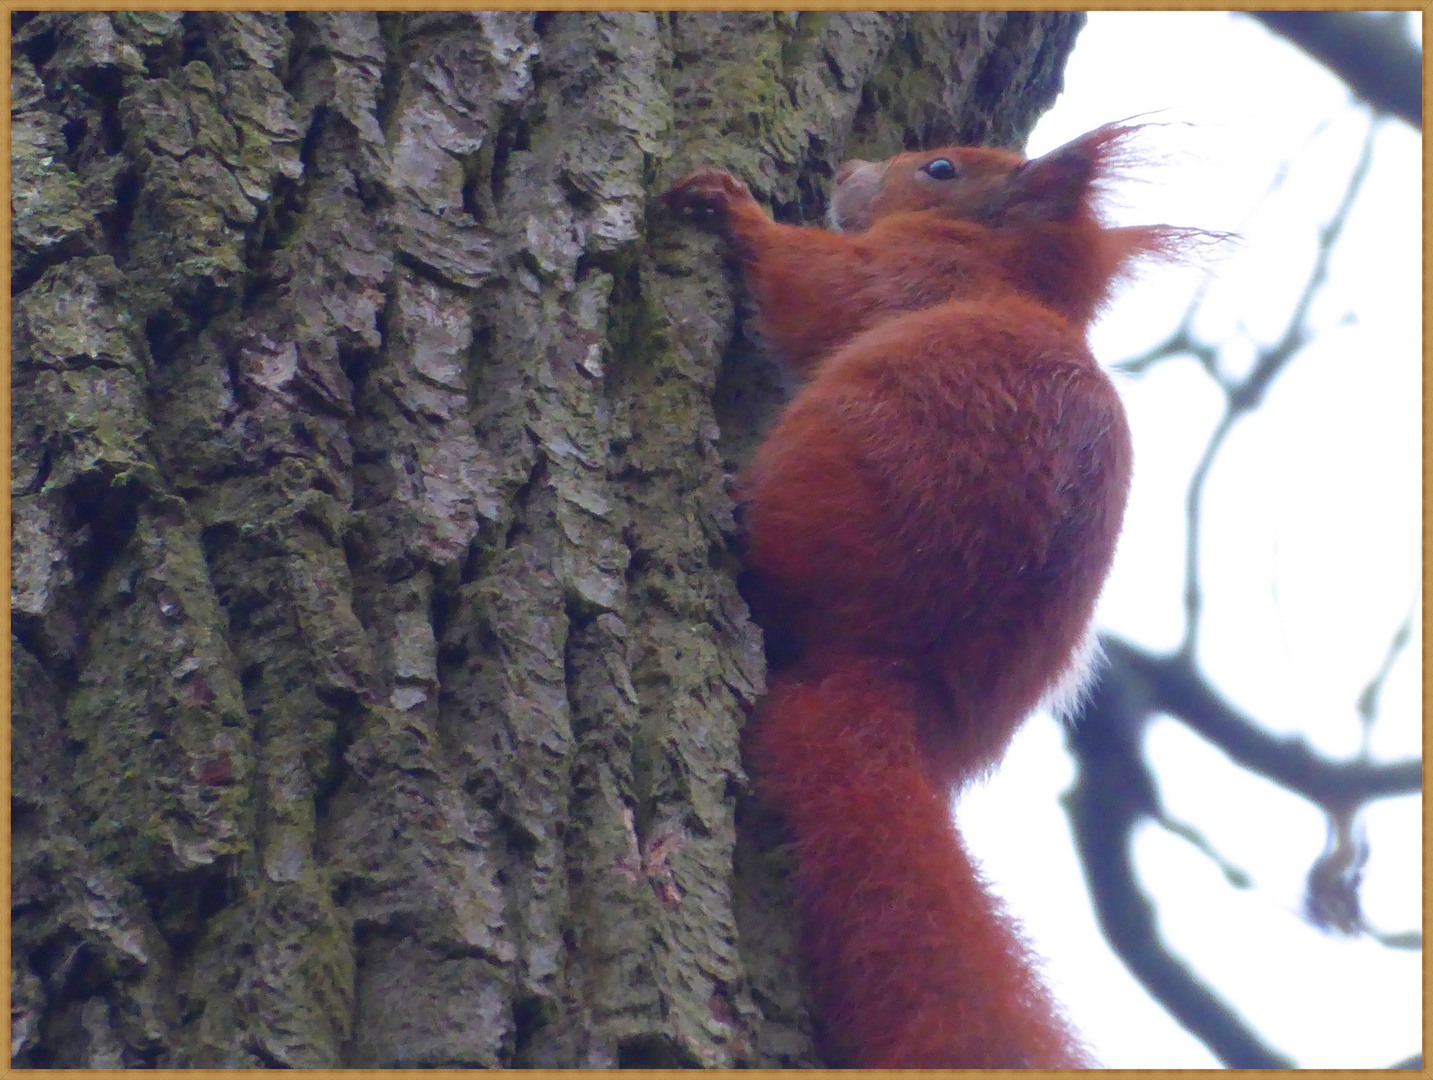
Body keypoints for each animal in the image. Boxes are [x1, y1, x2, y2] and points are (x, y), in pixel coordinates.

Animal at [664, 121, 1215, 1065]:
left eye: (940, 169)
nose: (847, 170)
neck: (1006, 268)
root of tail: (881, 670)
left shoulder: (912, 271)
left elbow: (816, 289)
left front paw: (732, 208)